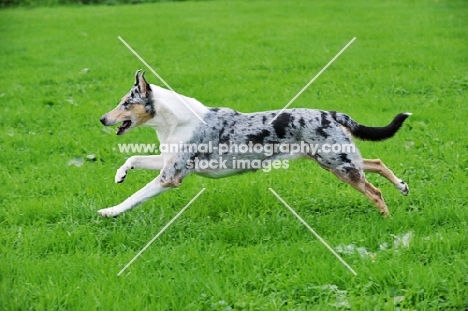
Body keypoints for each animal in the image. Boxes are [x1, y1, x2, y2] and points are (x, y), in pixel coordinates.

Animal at [98, 70, 410, 218]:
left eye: (126, 103)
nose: (102, 119)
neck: (174, 121)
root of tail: (331, 113)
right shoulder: (167, 162)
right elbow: (133, 159)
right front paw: (119, 175)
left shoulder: (169, 176)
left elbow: (134, 197)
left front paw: (109, 212)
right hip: (336, 159)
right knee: (376, 163)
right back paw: (402, 186)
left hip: (338, 164)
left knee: (375, 192)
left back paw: (387, 220)